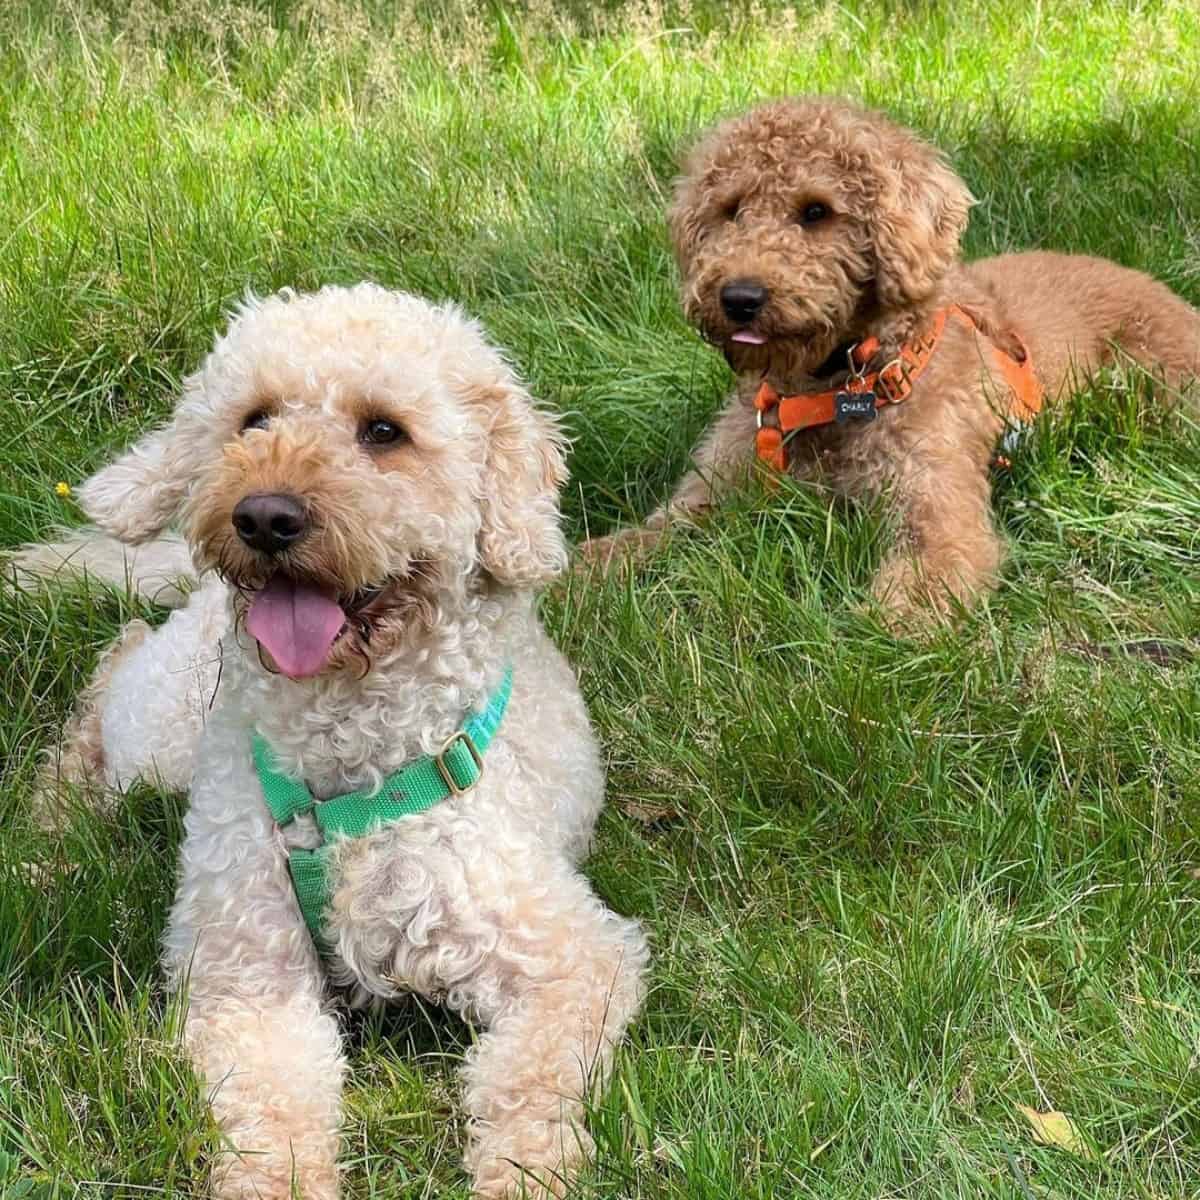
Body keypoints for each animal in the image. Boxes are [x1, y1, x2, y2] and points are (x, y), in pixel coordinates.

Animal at [23, 283, 648, 1200]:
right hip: (160, 734)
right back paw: (50, 827)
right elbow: (273, 1110)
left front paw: (522, 1169)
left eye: (383, 431)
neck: (349, 769)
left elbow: (530, 1079)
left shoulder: (567, 956)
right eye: (253, 418)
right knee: (112, 672)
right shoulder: (247, 978)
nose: (264, 515)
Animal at [583, 93, 1200, 628]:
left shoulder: (936, 510)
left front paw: (886, 631)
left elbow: (923, 582)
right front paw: (579, 576)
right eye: (730, 210)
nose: (738, 297)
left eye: (816, 211)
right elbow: (640, 539)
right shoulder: (710, 494)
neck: (831, 392)